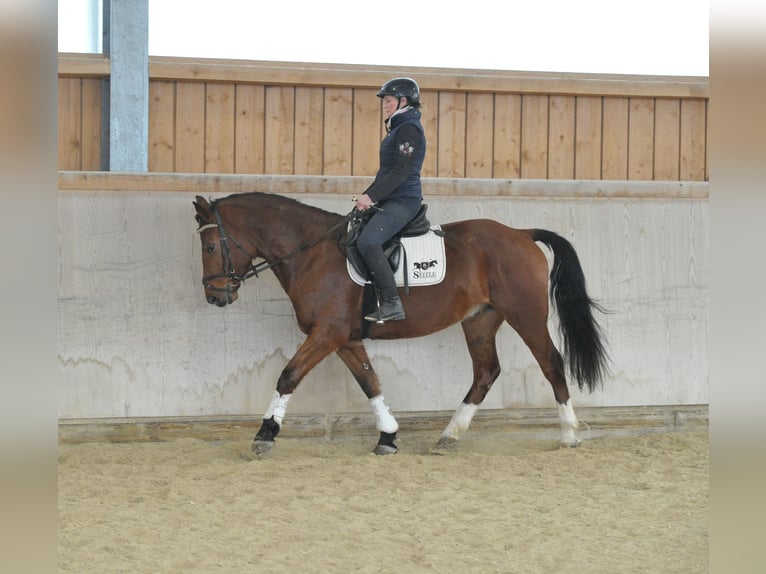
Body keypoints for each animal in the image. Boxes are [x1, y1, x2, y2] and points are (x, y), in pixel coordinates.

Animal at [193, 192, 609, 455]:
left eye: (211, 247)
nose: (215, 296)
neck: (312, 253)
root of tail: (521, 234)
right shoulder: (344, 339)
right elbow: (370, 383)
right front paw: (388, 437)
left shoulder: (326, 334)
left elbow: (288, 376)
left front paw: (265, 435)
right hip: (480, 321)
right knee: (486, 373)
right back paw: (449, 436)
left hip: (527, 315)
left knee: (551, 364)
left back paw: (569, 435)